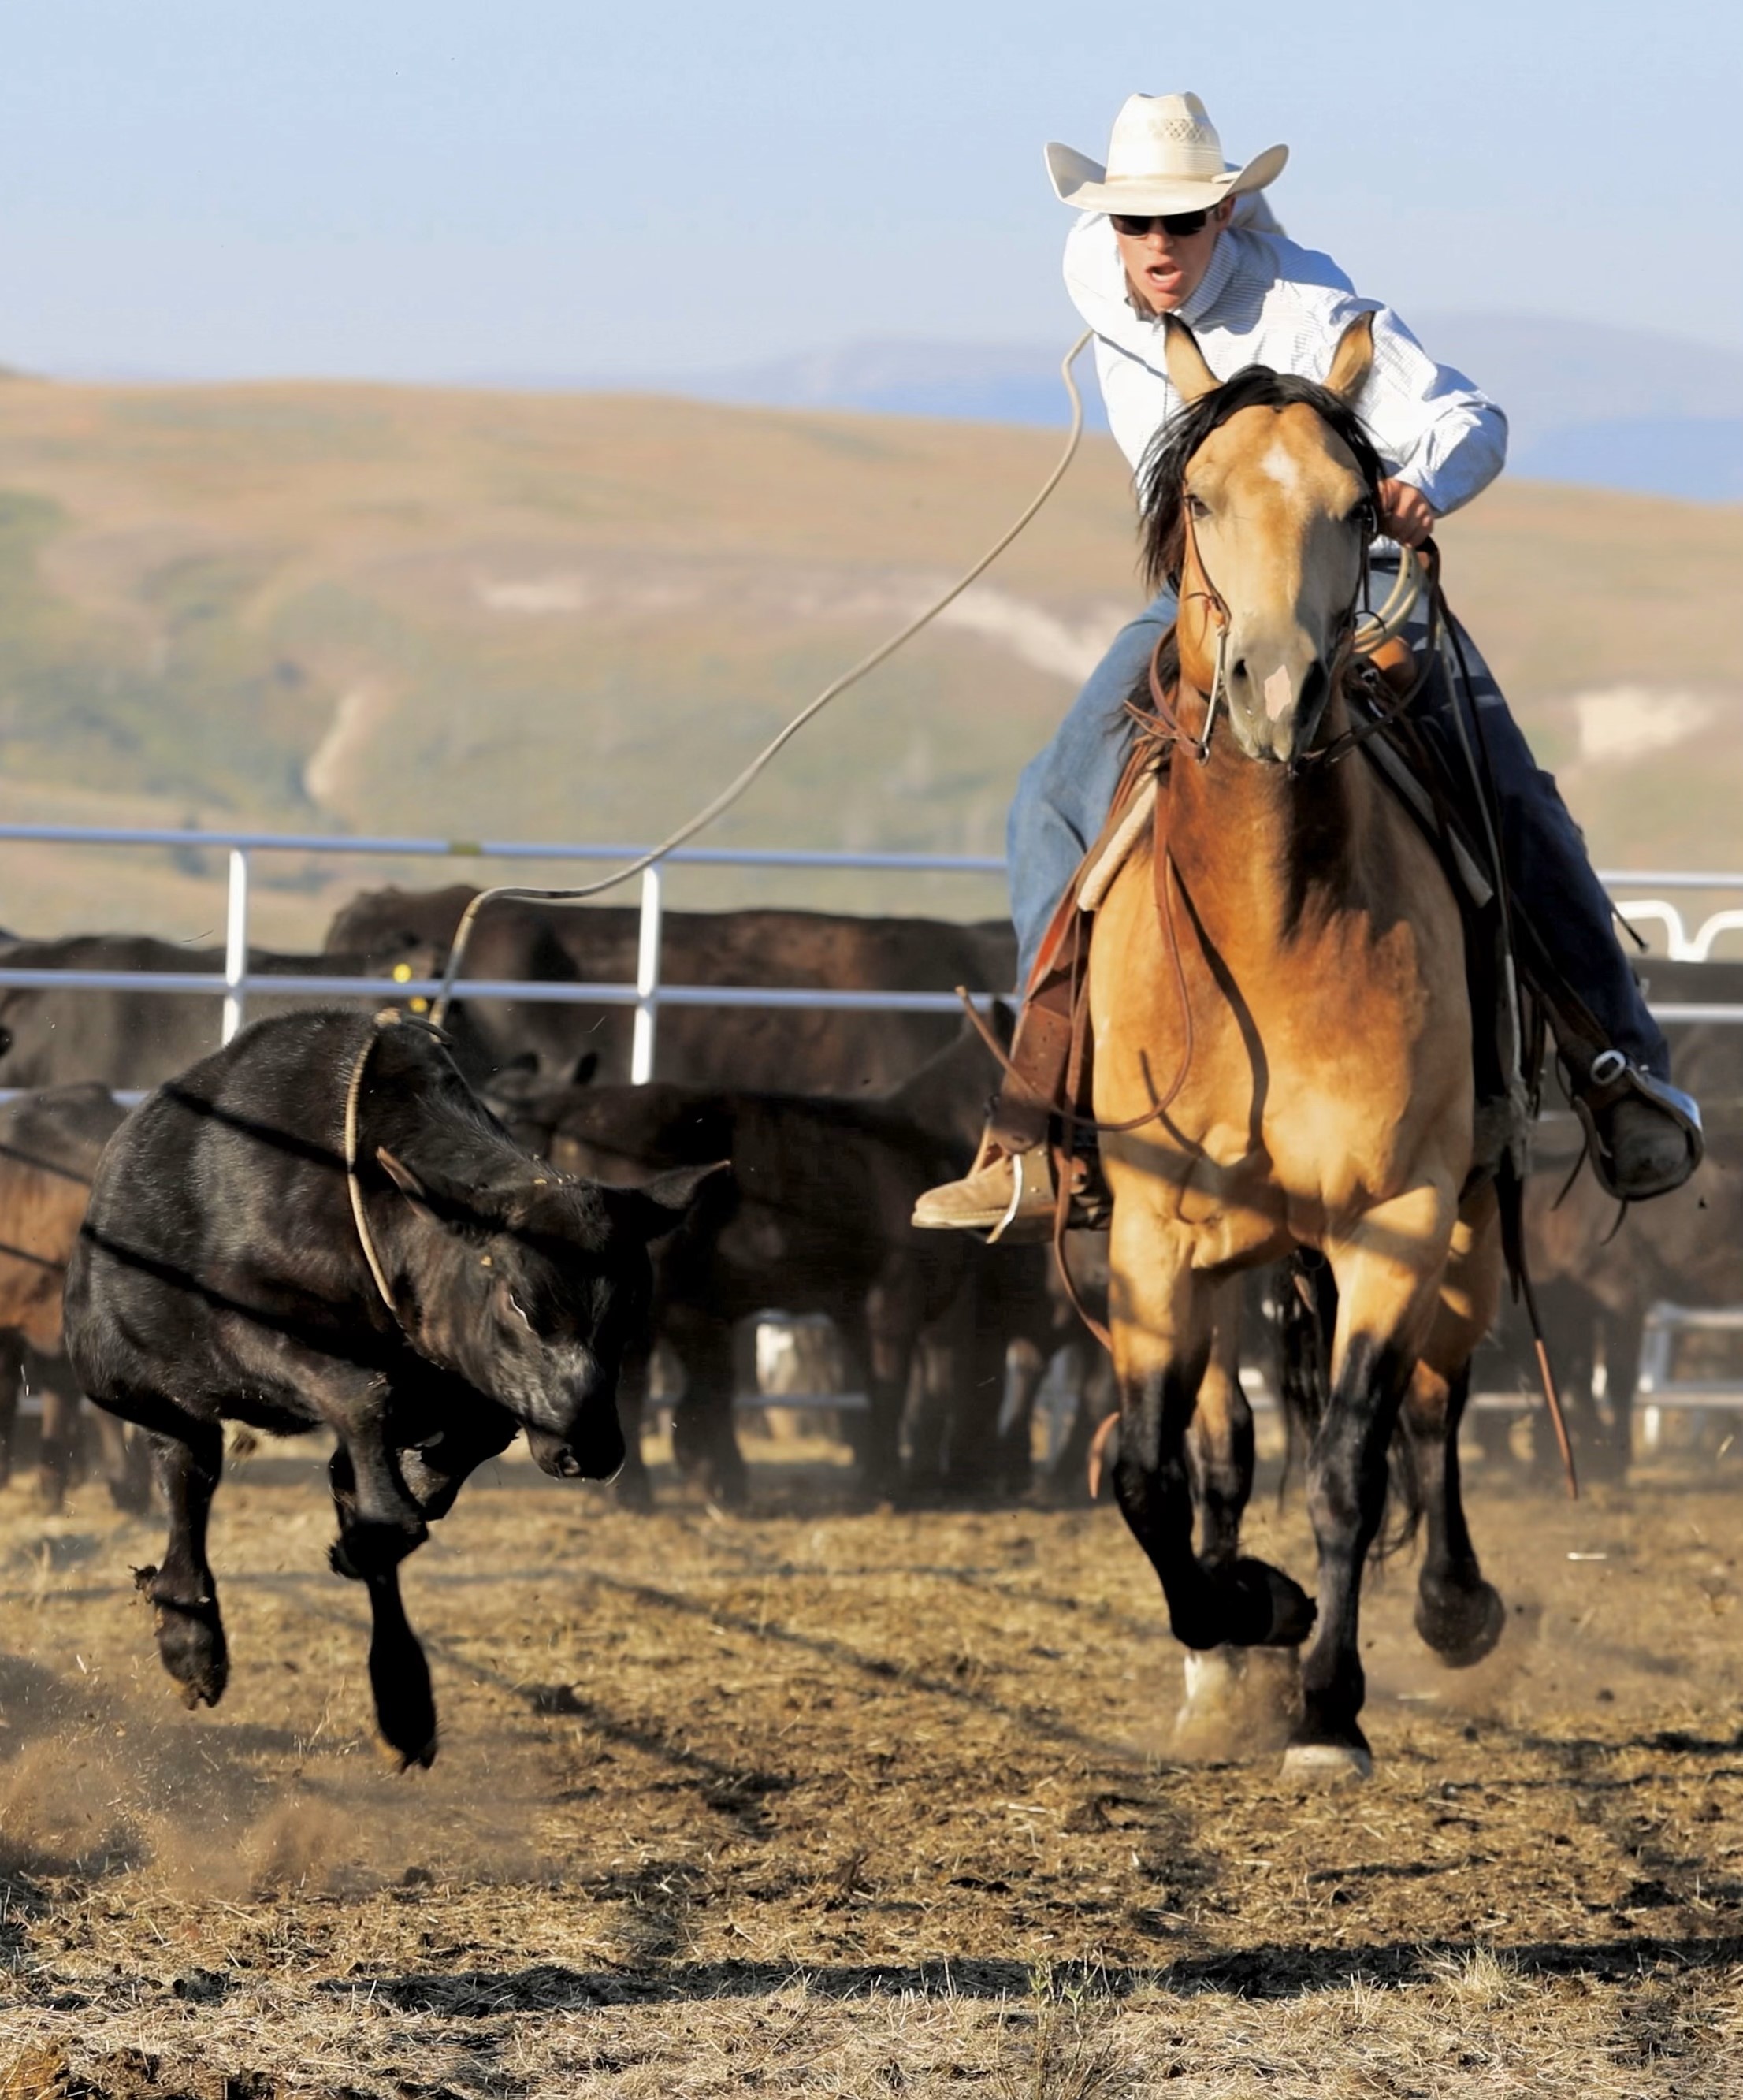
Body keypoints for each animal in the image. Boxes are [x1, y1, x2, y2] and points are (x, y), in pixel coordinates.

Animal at [1083, 310, 1511, 1780]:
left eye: (1355, 507)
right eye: (1203, 500)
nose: (1276, 687)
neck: (1274, 933)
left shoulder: (1396, 1213)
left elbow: (1348, 1464)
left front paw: (1328, 1705)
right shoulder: (1152, 1231)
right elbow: (1146, 1467)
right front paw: (1248, 1614)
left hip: (1465, 1220)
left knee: (1431, 1404)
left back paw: (1450, 1604)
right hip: (1227, 1259)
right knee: (1217, 1440)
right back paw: (1223, 1666)